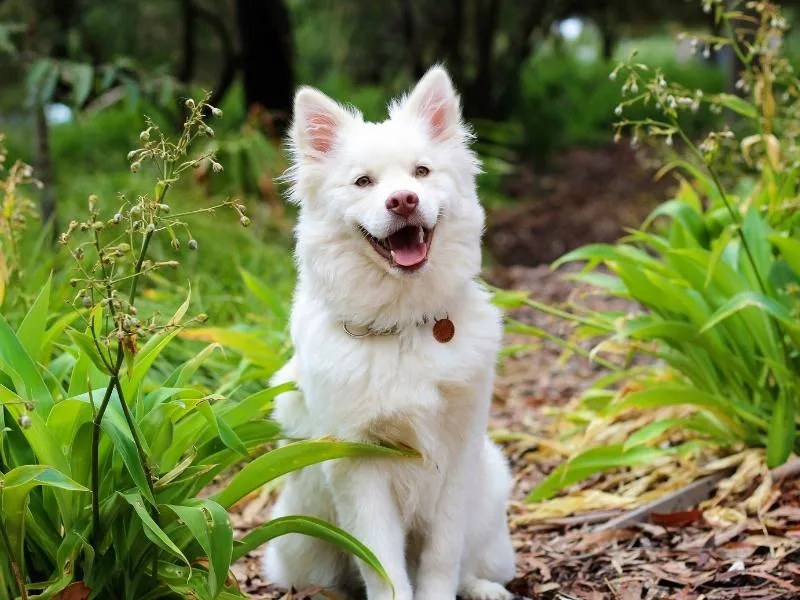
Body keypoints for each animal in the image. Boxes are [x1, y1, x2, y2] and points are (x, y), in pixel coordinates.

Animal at [262, 67, 512, 600]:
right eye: (363, 182)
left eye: (421, 172)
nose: (403, 200)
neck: (403, 325)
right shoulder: (359, 466)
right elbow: (383, 567)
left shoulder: (457, 456)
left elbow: (442, 556)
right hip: (299, 538)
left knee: (470, 563)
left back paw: (482, 587)